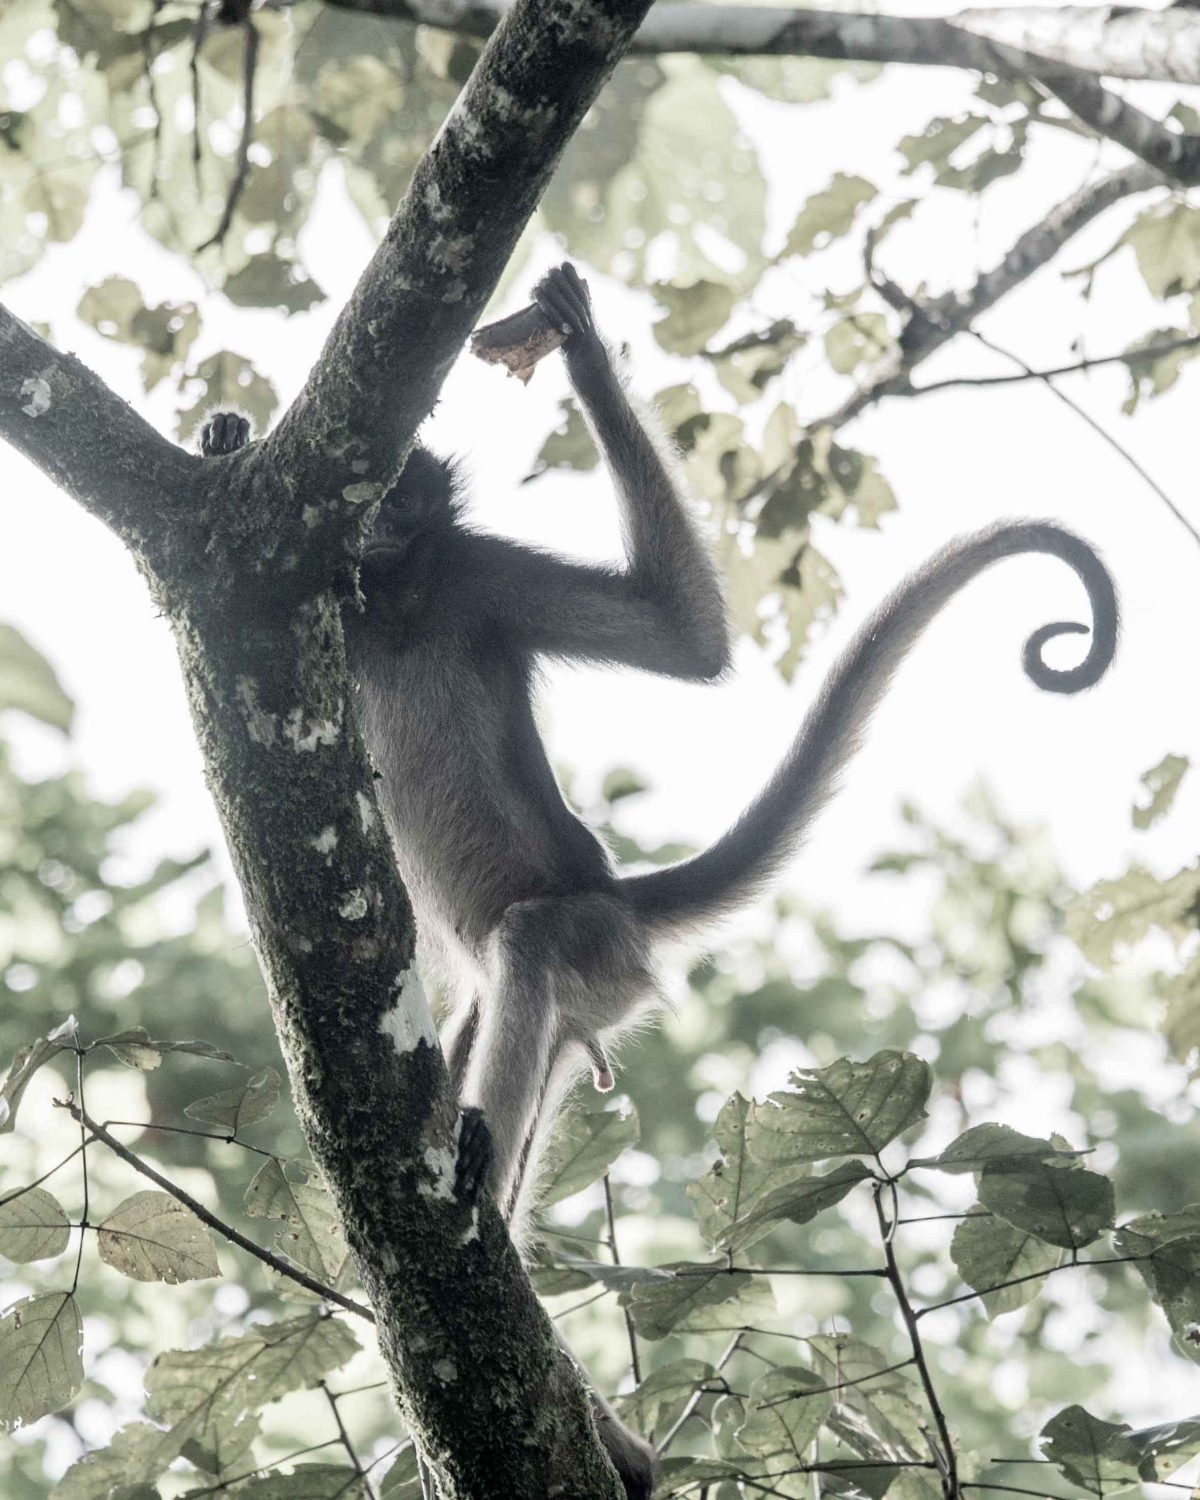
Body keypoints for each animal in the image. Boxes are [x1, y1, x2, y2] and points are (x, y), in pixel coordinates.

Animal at [200, 262, 1118, 1499]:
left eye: (405, 492)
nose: (384, 515)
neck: (391, 600)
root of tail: (626, 899)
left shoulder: (474, 573)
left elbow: (685, 641)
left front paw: (579, 346)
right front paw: (224, 437)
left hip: (593, 940)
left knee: (532, 945)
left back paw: (483, 1189)